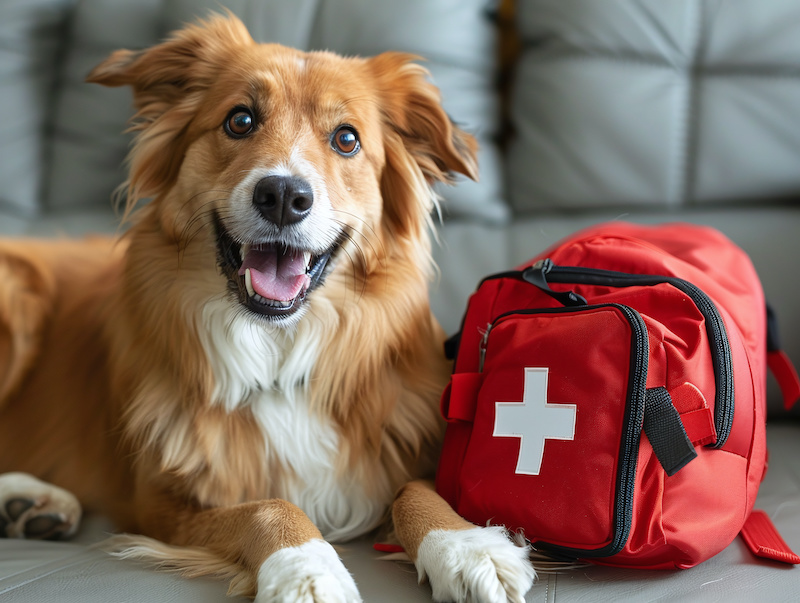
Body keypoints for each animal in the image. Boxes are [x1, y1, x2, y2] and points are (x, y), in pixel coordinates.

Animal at [0, 14, 536, 603]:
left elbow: (415, 489)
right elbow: (268, 505)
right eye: (240, 120)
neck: (278, 349)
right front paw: (309, 568)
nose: (283, 195)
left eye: (347, 139)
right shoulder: (159, 502)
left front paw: (466, 545)